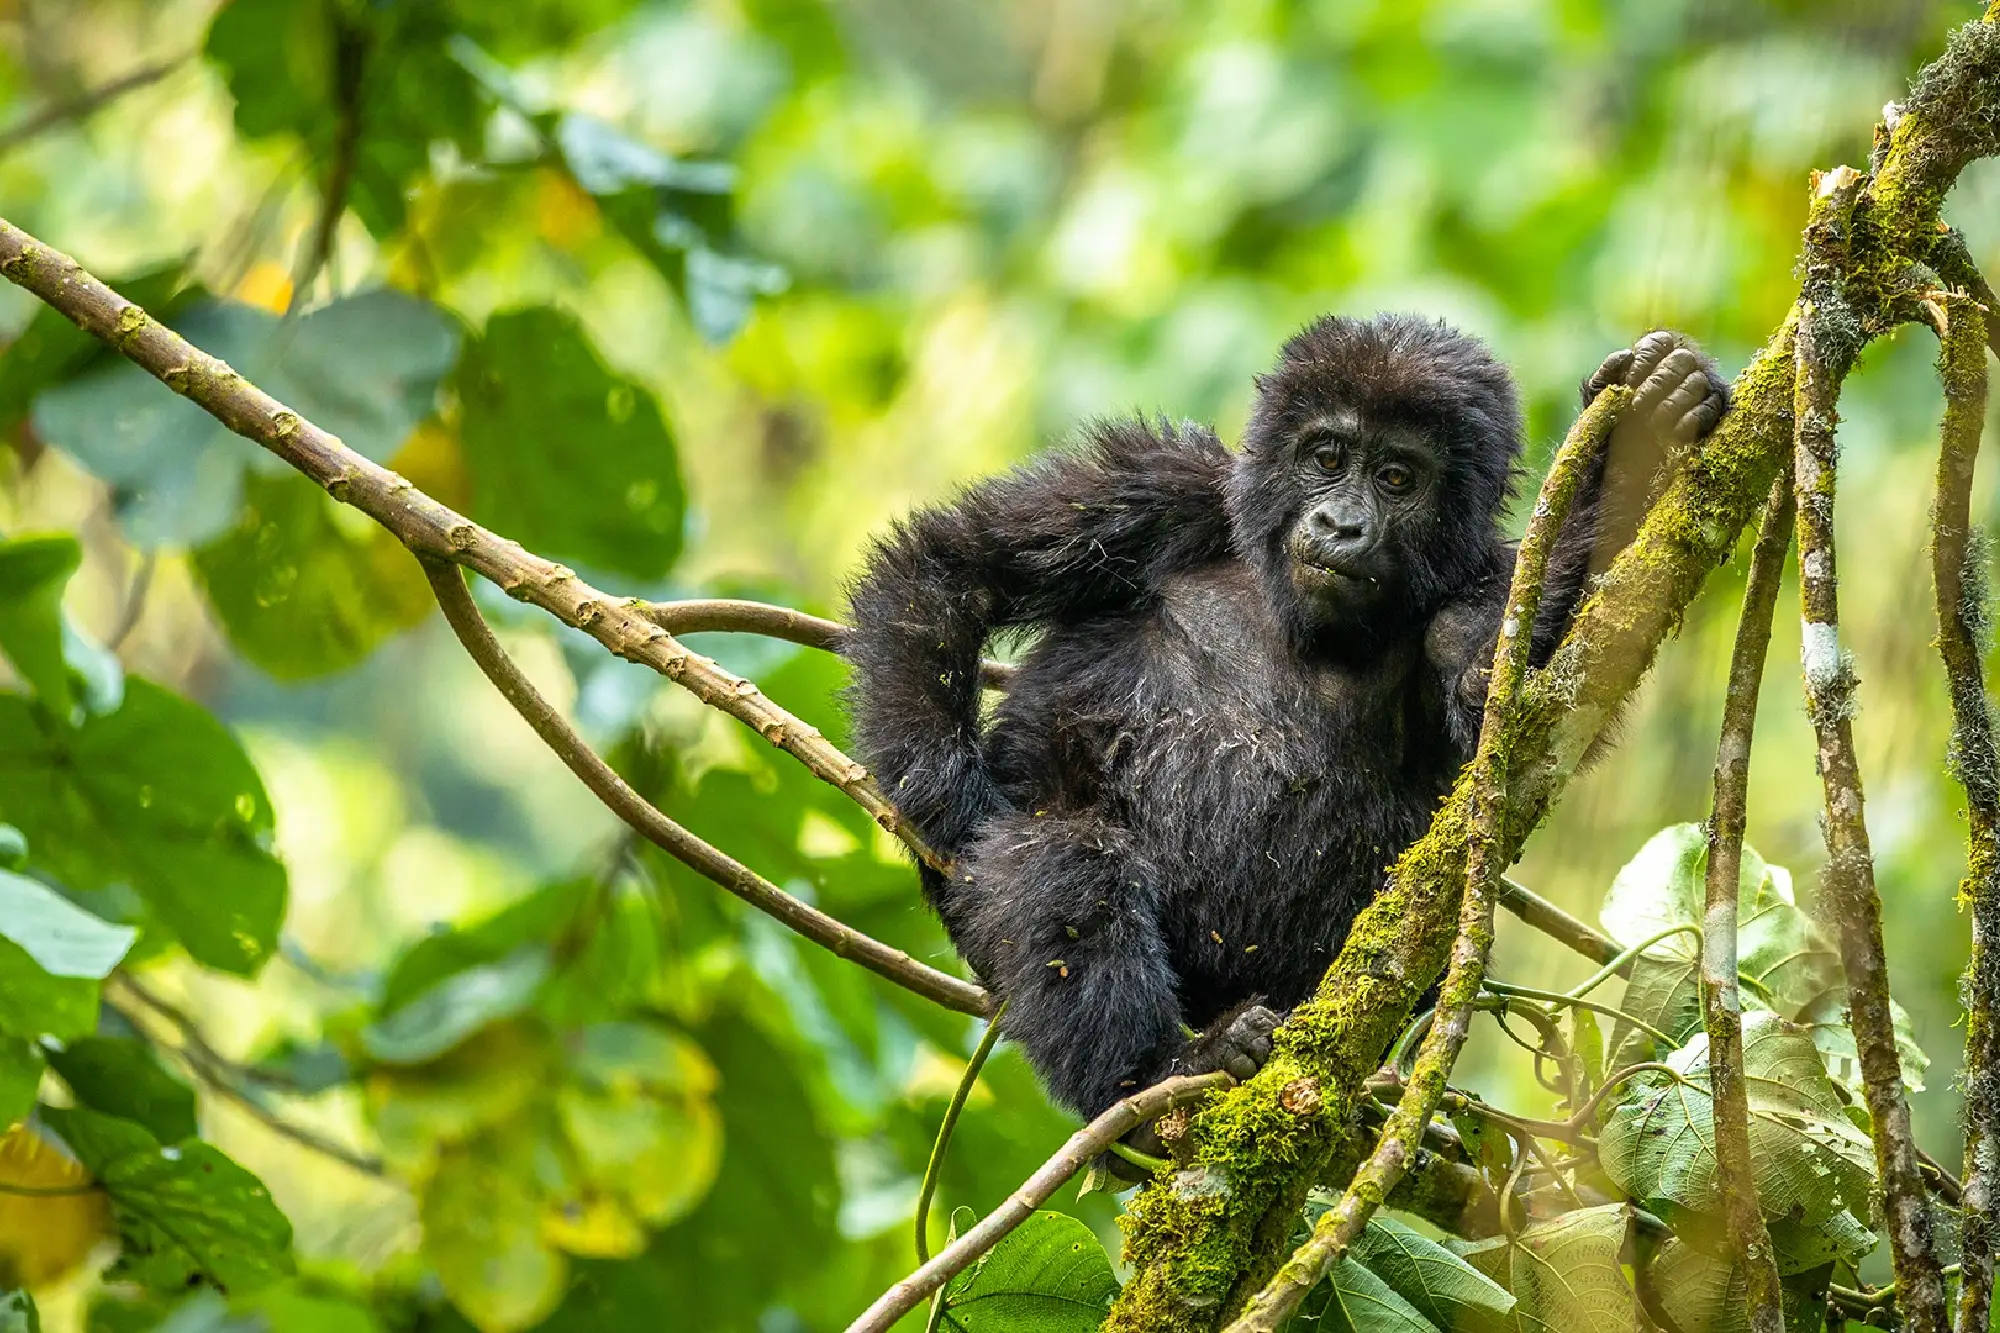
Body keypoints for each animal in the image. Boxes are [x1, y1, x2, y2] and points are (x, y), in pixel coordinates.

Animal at [843, 317, 1729, 1119]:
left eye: (1399, 477)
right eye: (1327, 458)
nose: (1341, 524)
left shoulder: (1486, 584)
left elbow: (1508, 702)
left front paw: (1639, 441)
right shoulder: (1163, 485)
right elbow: (955, 567)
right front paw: (950, 801)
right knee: (1064, 861)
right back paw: (1157, 1071)